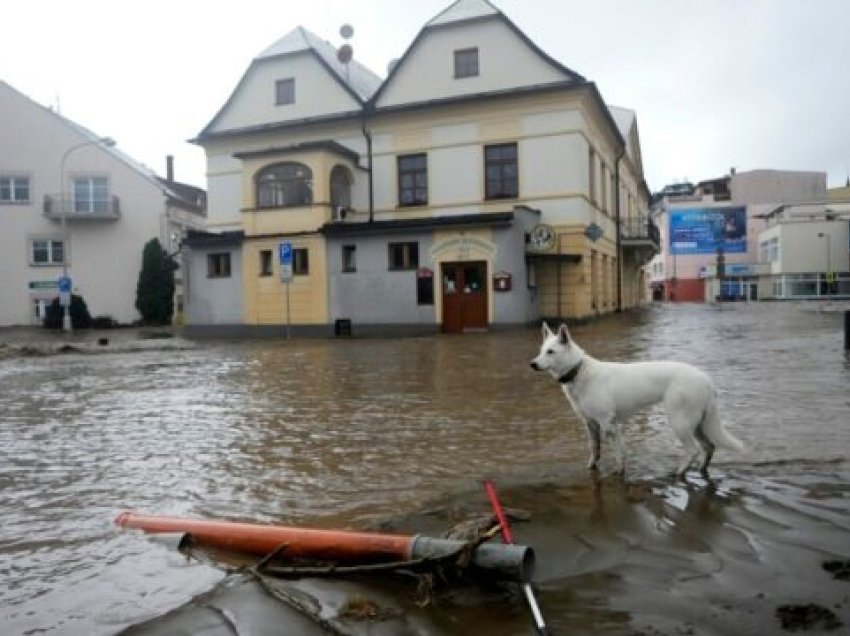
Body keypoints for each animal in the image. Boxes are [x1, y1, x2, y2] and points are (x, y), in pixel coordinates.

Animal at [528, 322, 740, 476]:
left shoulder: (607, 424)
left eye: (551, 352)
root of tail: (706, 379)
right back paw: (702, 469)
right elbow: (596, 449)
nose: (532, 364)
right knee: (709, 447)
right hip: (697, 424)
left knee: (693, 450)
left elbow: (617, 453)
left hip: (680, 422)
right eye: (540, 350)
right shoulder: (592, 424)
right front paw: (593, 467)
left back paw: (680, 472)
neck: (578, 371)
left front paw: (619, 472)